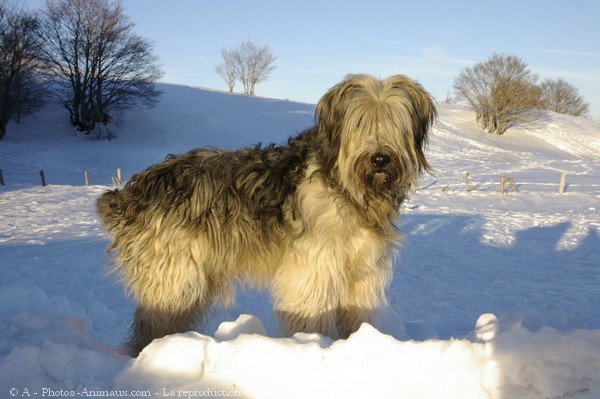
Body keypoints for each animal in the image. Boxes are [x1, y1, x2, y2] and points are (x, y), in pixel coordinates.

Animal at [98, 74, 436, 356]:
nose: (380, 159)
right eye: (360, 123)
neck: (347, 189)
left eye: (395, 123)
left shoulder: (361, 271)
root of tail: (131, 191)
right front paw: (316, 345)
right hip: (173, 274)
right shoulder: (314, 268)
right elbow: (313, 314)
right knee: (155, 318)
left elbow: (357, 313)